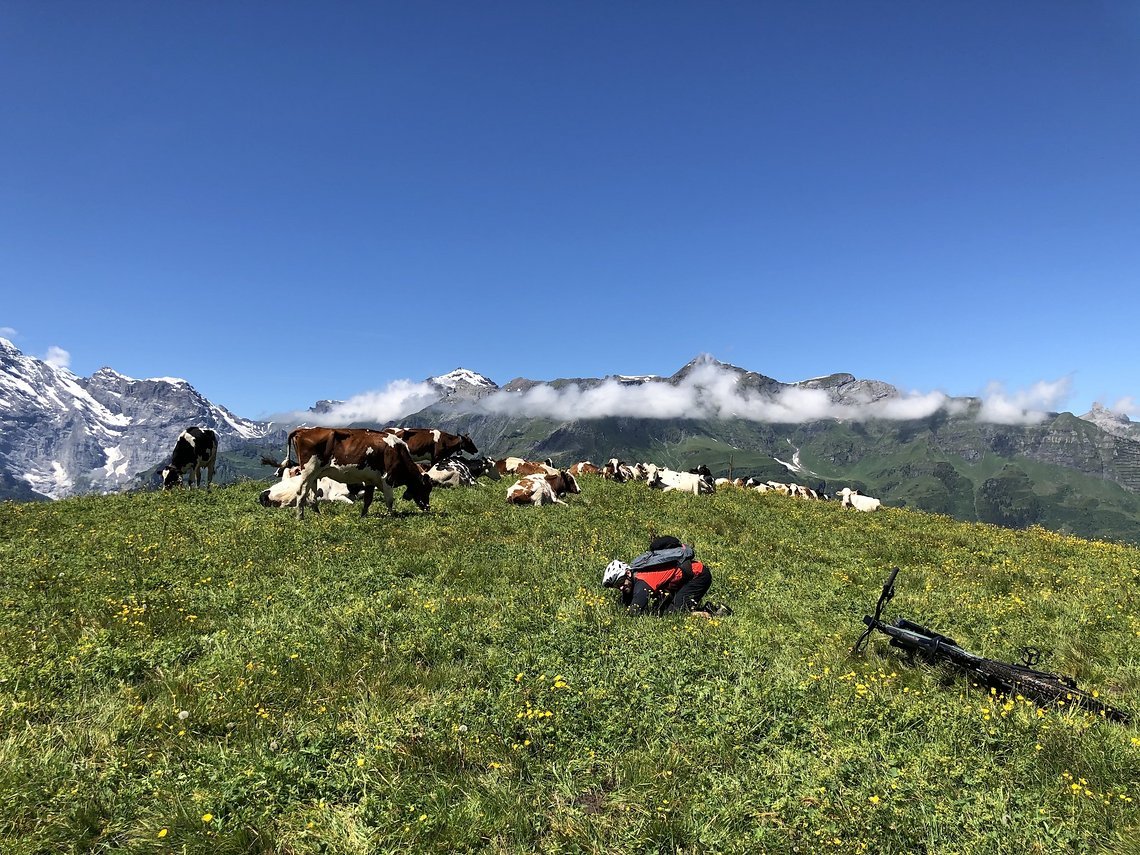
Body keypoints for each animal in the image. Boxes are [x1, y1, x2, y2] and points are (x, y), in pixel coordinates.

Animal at [285, 426, 430, 519]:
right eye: (425, 489)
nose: (428, 508)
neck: (398, 451)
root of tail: (304, 430)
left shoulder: (371, 479)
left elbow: (368, 499)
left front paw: (363, 516)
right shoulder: (387, 478)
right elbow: (389, 500)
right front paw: (392, 516)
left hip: (315, 475)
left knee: (312, 497)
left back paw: (318, 516)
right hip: (308, 470)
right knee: (301, 493)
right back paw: (300, 518)